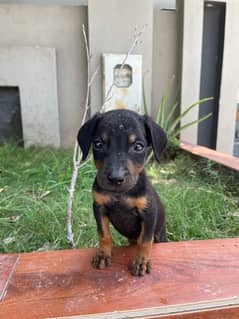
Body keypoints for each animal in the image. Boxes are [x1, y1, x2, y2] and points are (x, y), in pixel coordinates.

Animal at [77, 109, 167, 276]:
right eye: (98, 144)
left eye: (138, 147)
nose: (115, 178)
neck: (119, 194)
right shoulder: (99, 207)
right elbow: (104, 234)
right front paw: (103, 255)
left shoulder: (148, 212)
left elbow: (145, 240)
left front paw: (141, 261)